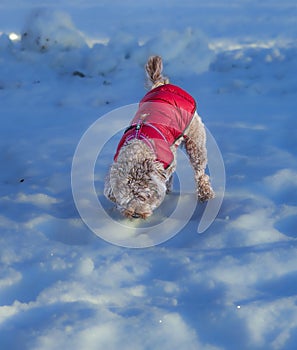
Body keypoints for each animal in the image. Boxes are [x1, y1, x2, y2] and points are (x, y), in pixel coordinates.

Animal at [103, 55, 213, 217]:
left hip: (195, 139)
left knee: (199, 170)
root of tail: (162, 84)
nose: (135, 214)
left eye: (144, 196)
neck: (138, 148)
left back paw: (205, 193)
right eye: (126, 197)